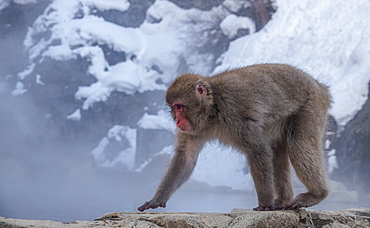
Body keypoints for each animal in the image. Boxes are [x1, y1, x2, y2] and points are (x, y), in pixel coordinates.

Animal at [138, 63, 330, 211]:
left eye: (179, 107)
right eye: (173, 108)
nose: (177, 120)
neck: (212, 109)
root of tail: (319, 85)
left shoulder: (235, 115)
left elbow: (258, 150)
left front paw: (265, 204)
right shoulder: (193, 129)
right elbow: (185, 158)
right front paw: (157, 199)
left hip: (311, 106)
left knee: (298, 144)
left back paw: (317, 194)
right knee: (277, 150)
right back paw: (283, 200)